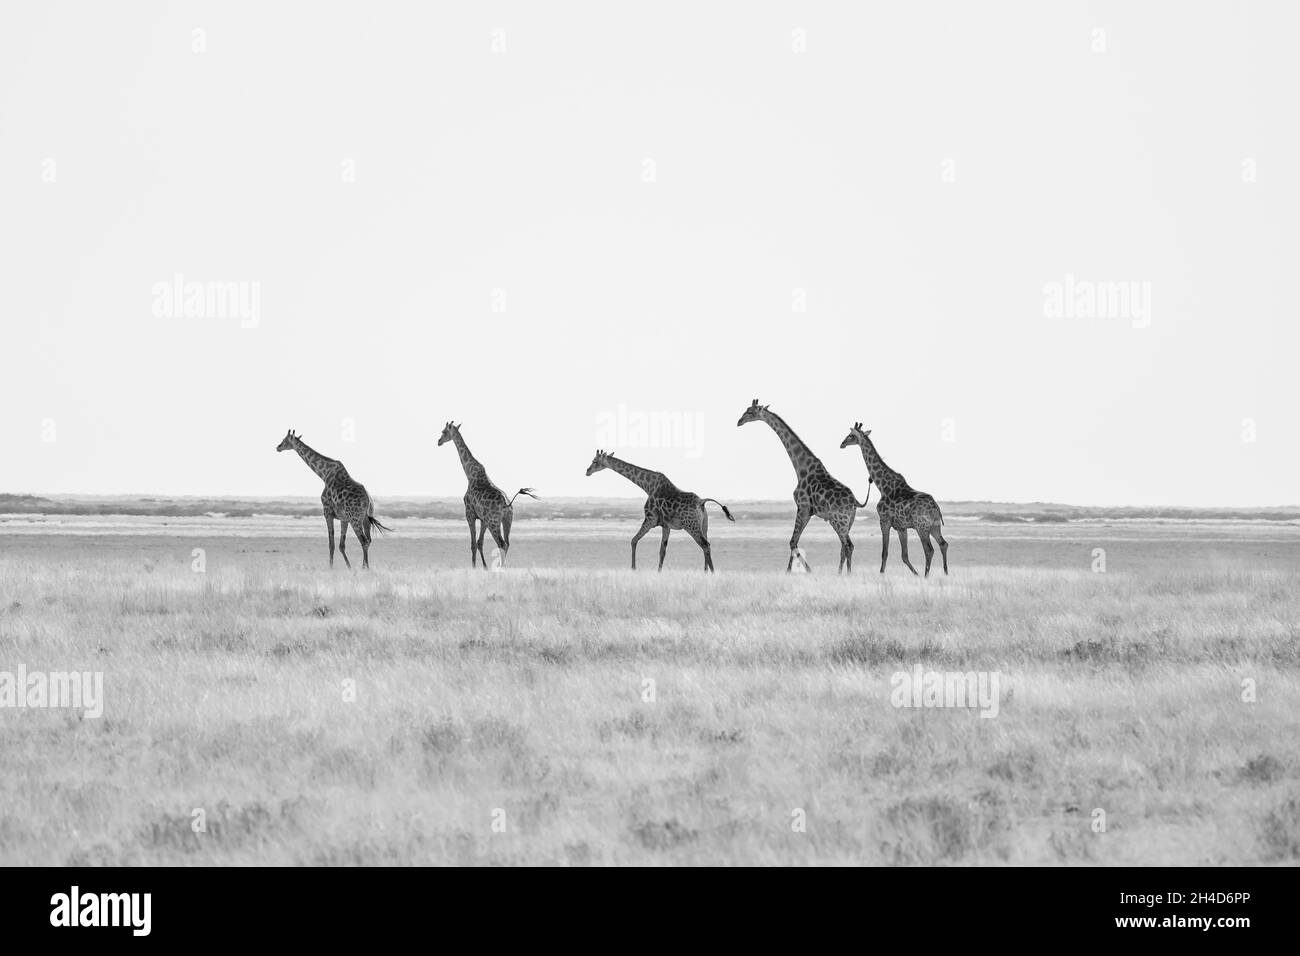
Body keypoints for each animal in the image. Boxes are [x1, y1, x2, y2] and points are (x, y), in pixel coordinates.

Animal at [275, 429, 392, 569]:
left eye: (285, 440)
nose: (278, 447)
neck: (324, 474)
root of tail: (368, 501)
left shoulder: (327, 512)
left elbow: (331, 544)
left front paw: (331, 568)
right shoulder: (344, 518)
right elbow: (342, 545)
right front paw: (349, 567)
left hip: (355, 519)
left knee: (363, 541)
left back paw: (364, 568)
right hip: (365, 519)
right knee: (368, 540)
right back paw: (366, 567)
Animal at [438, 422, 537, 569]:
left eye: (444, 432)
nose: (438, 441)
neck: (469, 474)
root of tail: (507, 504)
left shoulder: (470, 514)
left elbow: (473, 544)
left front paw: (474, 567)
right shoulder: (483, 519)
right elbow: (480, 542)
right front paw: (484, 567)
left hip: (493, 522)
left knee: (501, 543)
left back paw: (500, 568)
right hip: (507, 520)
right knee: (507, 543)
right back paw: (502, 567)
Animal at [585, 450, 734, 571]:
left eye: (595, 461)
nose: (587, 471)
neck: (647, 486)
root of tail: (702, 502)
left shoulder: (650, 519)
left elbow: (633, 540)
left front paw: (633, 568)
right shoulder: (666, 525)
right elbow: (662, 551)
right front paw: (658, 572)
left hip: (691, 526)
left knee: (705, 545)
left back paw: (711, 572)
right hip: (704, 525)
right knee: (706, 544)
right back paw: (706, 571)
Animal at [736, 399, 867, 573]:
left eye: (750, 412)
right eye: (746, 410)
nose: (739, 421)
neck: (800, 468)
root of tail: (855, 502)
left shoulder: (803, 507)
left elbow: (792, 541)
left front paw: (800, 571)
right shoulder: (808, 511)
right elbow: (794, 541)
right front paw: (793, 571)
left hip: (839, 521)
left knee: (847, 546)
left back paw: (844, 574)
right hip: (848, 522)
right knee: (847, 546)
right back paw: (845, 573)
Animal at [840, 422, 948, 576]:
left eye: (850, 435)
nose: (841, 444)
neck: (882, 487)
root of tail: (935, 507)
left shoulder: (884, 521)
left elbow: (884, 552)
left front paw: (881, 574)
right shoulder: (901, 527)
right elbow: (904, 555)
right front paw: (915, 574)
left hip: (922, 527)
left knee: (929, 550)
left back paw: (926, 576)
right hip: (934, 526)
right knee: (943, 544)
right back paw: (945, 573)